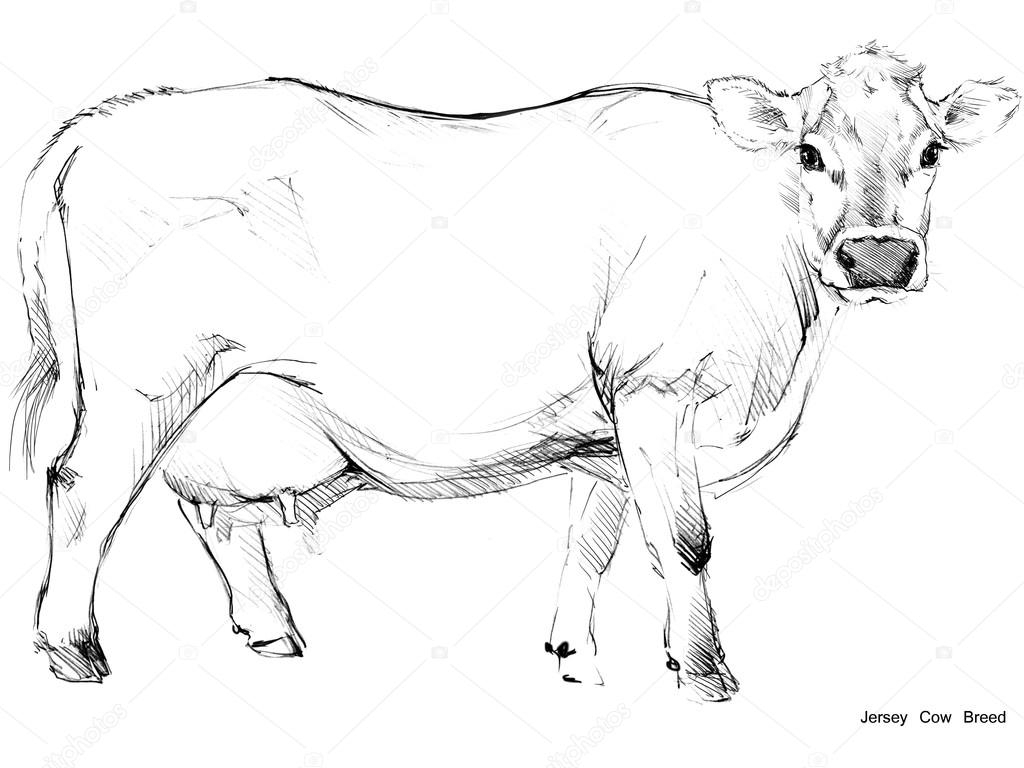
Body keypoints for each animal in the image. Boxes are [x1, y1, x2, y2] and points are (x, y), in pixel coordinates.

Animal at [11, 43, 1017, 700]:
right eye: (810, 153)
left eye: (930, 152)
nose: (879, 256)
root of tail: (104, 120)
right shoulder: (658, 389)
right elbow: (685, 539)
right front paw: (704, 673)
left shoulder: (607, 430)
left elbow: (594, 539)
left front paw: (576, 654)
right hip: (139, 382)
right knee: (83, 486)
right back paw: (72, 650)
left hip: (234, 398)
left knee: (212, 508)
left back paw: (272, 631)